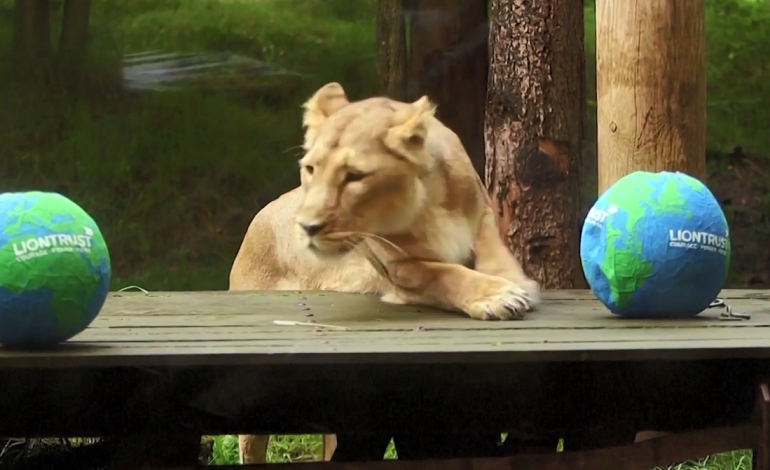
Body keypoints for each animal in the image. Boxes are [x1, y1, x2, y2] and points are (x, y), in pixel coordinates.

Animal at [228, 82, 541, 464]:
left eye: (355, 176)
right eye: (311, 169)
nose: (307, 227)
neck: (427, 204)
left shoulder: (483, 218)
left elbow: (495, 255)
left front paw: (515, 285)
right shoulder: (399, 269)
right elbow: (446, 274)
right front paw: (498, 296)